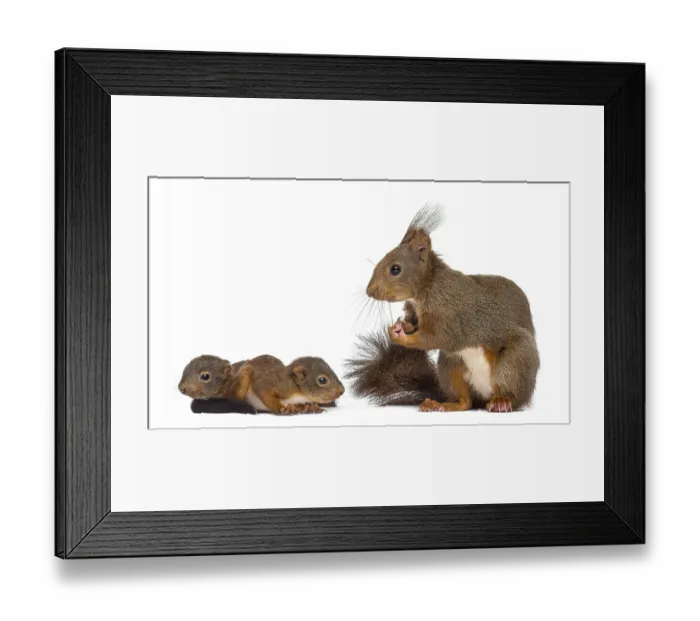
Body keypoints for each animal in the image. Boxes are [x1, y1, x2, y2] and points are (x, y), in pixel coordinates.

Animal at [178, 354, 344, 415]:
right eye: (322, 380)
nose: (341, 391)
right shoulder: (277, 384)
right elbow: (263, 389)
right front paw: (282, 409)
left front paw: (310, 407)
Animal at [346, 205, 540, 413]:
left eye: (395, 269)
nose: (369, 291)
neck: (428, 287)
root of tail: (484, 397)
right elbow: (415, 325)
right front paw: (402, 326)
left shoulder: (449, 315)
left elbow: (435, 337)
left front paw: (401, 336)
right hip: (450, 365)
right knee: (466, 402)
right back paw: (439, 404)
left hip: (515, 360)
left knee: (512, 392)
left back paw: (503, 401)